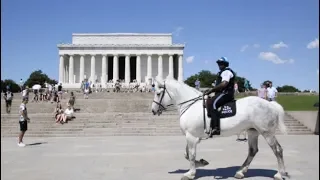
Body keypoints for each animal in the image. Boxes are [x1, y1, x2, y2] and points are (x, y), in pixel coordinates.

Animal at [151, 78, 288, 180]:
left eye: (158, 93)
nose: (153, 110)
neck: (190, 105)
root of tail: (270, 104)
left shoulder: (192, 136)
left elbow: (191, 154)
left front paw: (190, 173)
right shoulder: (194, 137)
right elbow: (187, 154)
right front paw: (201, 162)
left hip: (267, 133)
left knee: (277, 150)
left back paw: (279, 174)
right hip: (252, 132)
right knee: (253, 151)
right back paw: (241, 172)